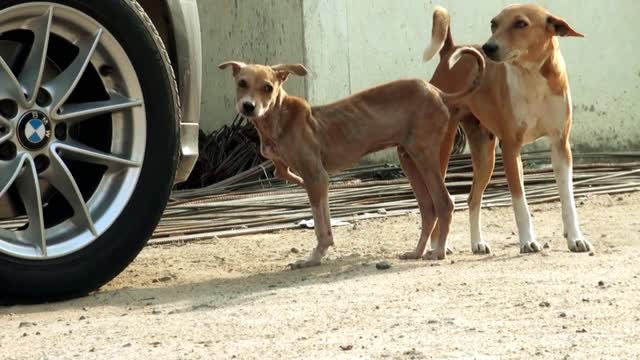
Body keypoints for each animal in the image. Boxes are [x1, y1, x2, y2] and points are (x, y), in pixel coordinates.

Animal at [220, 46, 484, 268]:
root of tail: (439, 93)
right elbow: (284, 174)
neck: (278, 119)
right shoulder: (309, 177)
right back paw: (417, 252)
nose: (248, 107)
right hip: (408, 158)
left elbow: (321, 226)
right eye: (242, 83)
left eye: (267, 87)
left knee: (444, 202)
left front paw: (314, 257)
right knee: (429, 209)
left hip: (423, 155)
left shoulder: (317, 176)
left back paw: (438, 251)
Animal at [422, 4, 592, 255]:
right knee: (440, 199)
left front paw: (575, 238)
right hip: (445, 150)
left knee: (473, 198)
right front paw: (527, 241)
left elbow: (568, 201)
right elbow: (520, 204)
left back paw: (477, 243)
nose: (488, 47)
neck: (531, 77)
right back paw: (437, 246)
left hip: (486, 156)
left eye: (521, 24)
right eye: (494, 24)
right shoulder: (511, 148)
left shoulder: (561, 145)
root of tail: (451, 49)